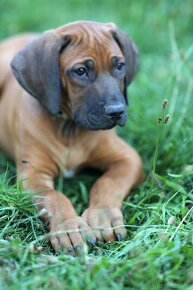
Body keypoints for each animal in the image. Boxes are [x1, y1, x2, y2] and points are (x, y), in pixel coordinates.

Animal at [0, 21, 143, 255]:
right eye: (81, 71)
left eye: (120, 66)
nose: (117, 111)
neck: (70, 129)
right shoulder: (32, 174)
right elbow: (54, 197)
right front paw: (68, 228)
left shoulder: (129, 159)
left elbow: (108, 183)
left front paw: (103, 216)